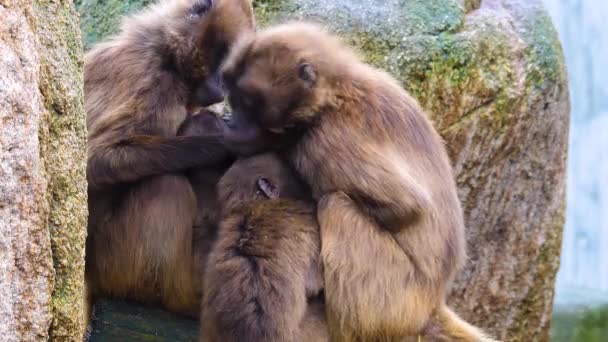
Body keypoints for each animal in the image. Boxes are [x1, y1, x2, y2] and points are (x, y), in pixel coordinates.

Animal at [85, 0, 254, 316]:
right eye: (224, 61)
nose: (223, 88)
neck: (169, 58)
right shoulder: (149, 76)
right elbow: (94, 163)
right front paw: (224, 145)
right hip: (113, 264)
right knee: (165, 185)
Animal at [221, 22, 496, 340]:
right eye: (235, 100)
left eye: (248, 103)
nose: (232, 122)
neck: (336, 92)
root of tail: (431, 302)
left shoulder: (325, 141)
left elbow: (407, 208)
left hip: (394, 298)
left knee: (336, 206)